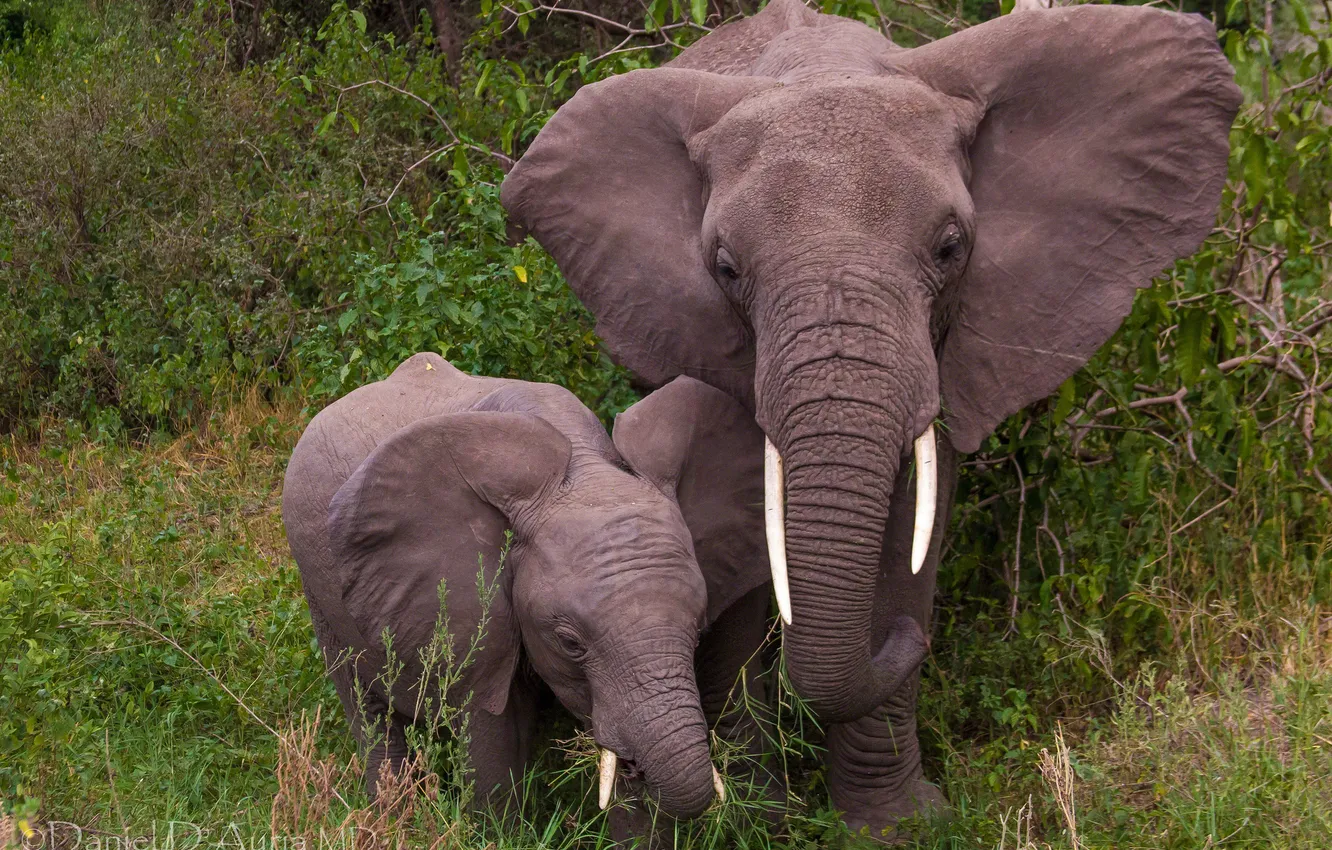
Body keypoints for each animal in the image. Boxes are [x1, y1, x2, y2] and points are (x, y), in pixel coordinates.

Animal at [281, 353, 775, 822]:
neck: (585, 468)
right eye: (570, 642)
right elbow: (493, 734)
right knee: (367, 711)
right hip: (320, 595)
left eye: (698, 631)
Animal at [500, 0, 1241, 835]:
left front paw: (902, 826)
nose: (911, 642)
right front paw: (766, 818)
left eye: (951, 247)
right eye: (725, 268)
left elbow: (913, 526)